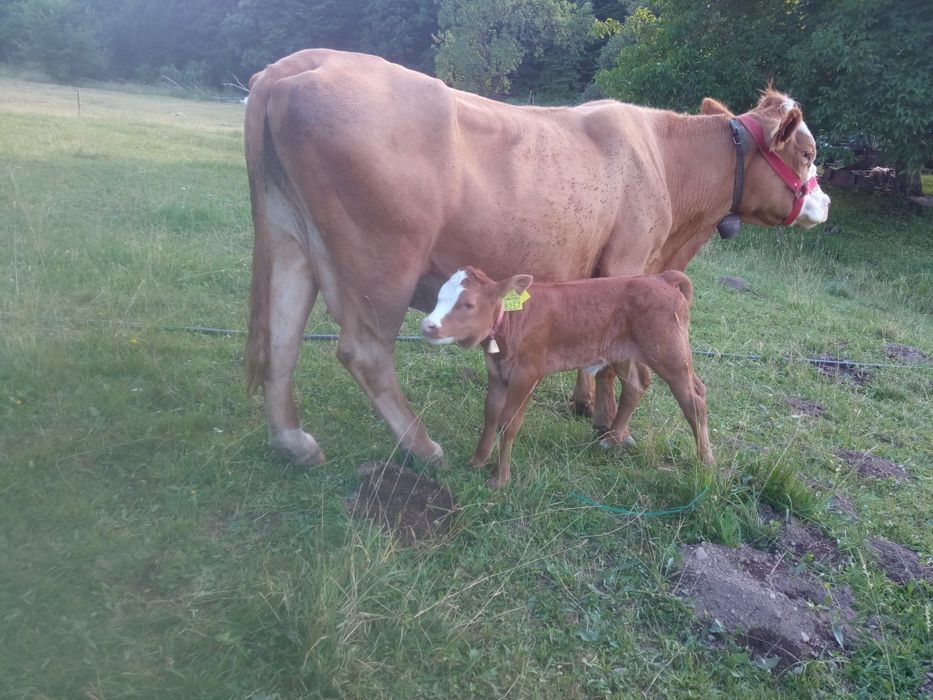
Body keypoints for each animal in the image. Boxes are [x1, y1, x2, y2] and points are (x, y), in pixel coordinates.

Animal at [421, 267, 713, 488]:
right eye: (438, 297)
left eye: (468, 304)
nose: (427, 325)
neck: (514, 320)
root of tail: (660, 278)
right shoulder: (496, 372)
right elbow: (491, 413)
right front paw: (478, 460)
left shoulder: (528, 373)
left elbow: (509, 422)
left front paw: (499, 478)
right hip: (623, 352)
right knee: (636, 384)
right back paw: (612, 439)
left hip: (670, 353)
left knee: (694, 398)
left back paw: (706, 462)